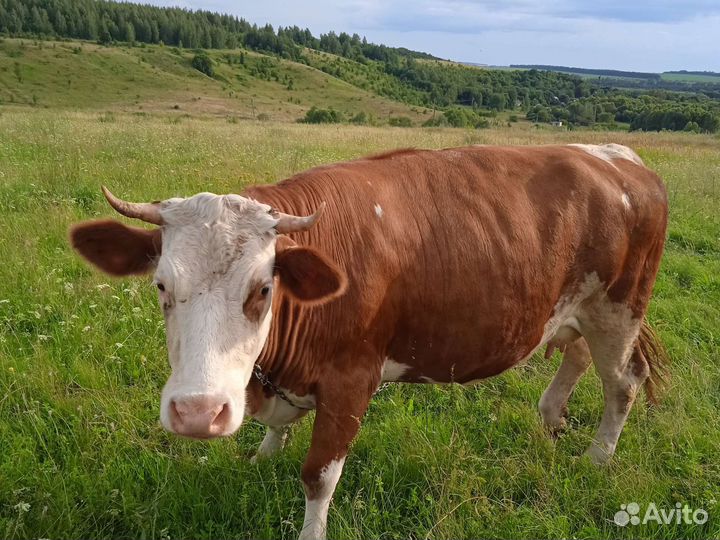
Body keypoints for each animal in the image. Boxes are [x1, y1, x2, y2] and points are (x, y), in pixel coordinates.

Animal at [70, 143, 669, 540]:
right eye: (161, 285)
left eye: (263, 288)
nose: (198, 413)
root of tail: (619, 157)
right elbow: (277, 434)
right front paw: (262, 457)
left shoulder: (352, 379)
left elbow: (318, 475)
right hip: (579, 310)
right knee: (576, 354)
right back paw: (551, 420)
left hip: (618, 309)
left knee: (623, 383)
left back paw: (597, 457)